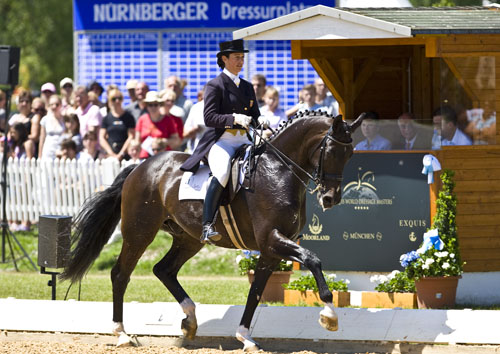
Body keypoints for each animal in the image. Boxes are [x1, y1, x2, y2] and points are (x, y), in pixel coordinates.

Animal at [59, 112, 364, 350]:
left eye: (350, 154)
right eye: (332, 152)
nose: (330, 199)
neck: (279, 170)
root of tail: (141, 166)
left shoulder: (270, 250)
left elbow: (256, 292)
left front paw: (246, 338)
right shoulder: (273, 239)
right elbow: (313, 259)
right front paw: (329, 315)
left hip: (188, 239)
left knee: (163, 270)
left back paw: (190, 321)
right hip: (139, 231)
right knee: (121, 274)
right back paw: (122, 334)